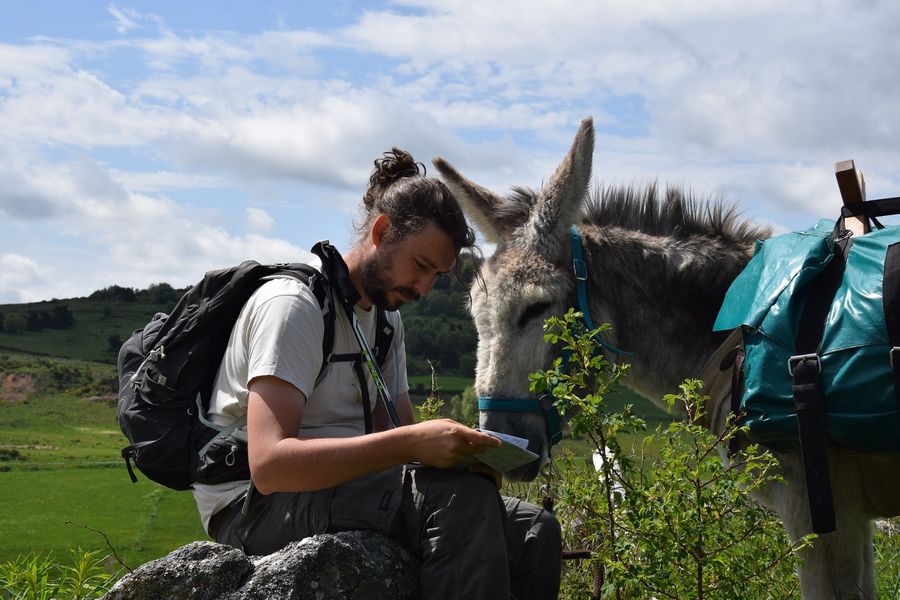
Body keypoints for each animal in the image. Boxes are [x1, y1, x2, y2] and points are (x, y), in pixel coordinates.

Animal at [433, 117, 900, 599]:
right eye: (474, 312)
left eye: (536, 307)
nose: (496, 439)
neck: (740, 327)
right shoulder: (849, 515)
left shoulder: (819, 512)